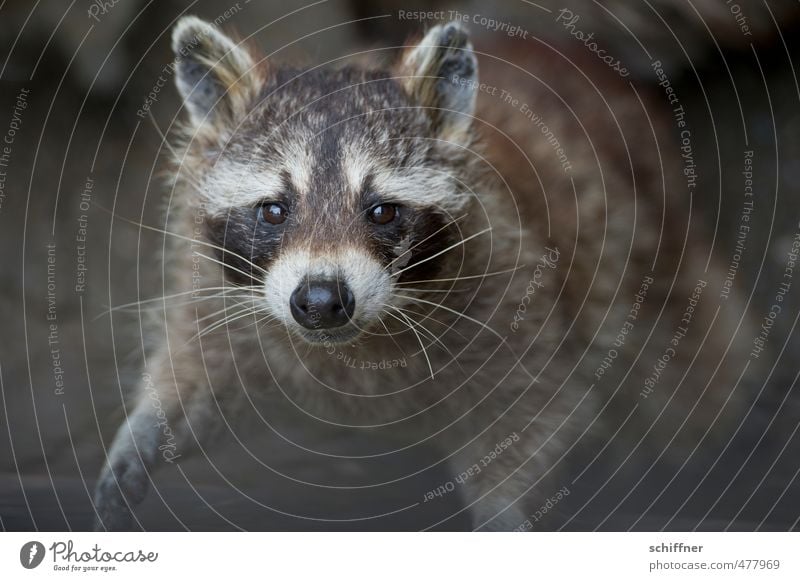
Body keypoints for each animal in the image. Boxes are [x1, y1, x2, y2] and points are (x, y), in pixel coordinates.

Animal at [94, 15, 752, 532]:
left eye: (382, 210)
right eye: (274, 210)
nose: (321, 300)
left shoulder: (517, 296)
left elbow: (536, 408)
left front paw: (504, 511)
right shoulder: (209, 282)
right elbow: (194, 366)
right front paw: (143, 430)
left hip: (663, 273)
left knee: (695, 376)